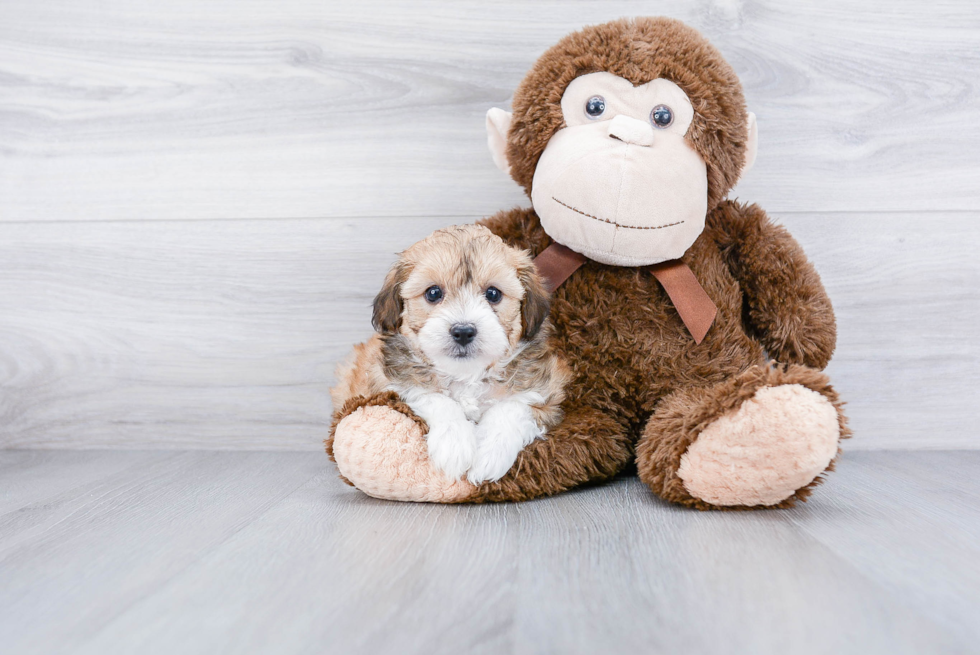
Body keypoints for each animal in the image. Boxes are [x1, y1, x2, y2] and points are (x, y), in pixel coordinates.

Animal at [334, 226, 572, 486]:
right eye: (433, 293)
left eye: (493, 294)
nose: (463, 331)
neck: (466, 375)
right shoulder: (389, 384)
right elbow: (433, 397)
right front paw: (454, 445)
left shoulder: (548, 390)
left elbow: (513, 407)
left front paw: (491, 452)